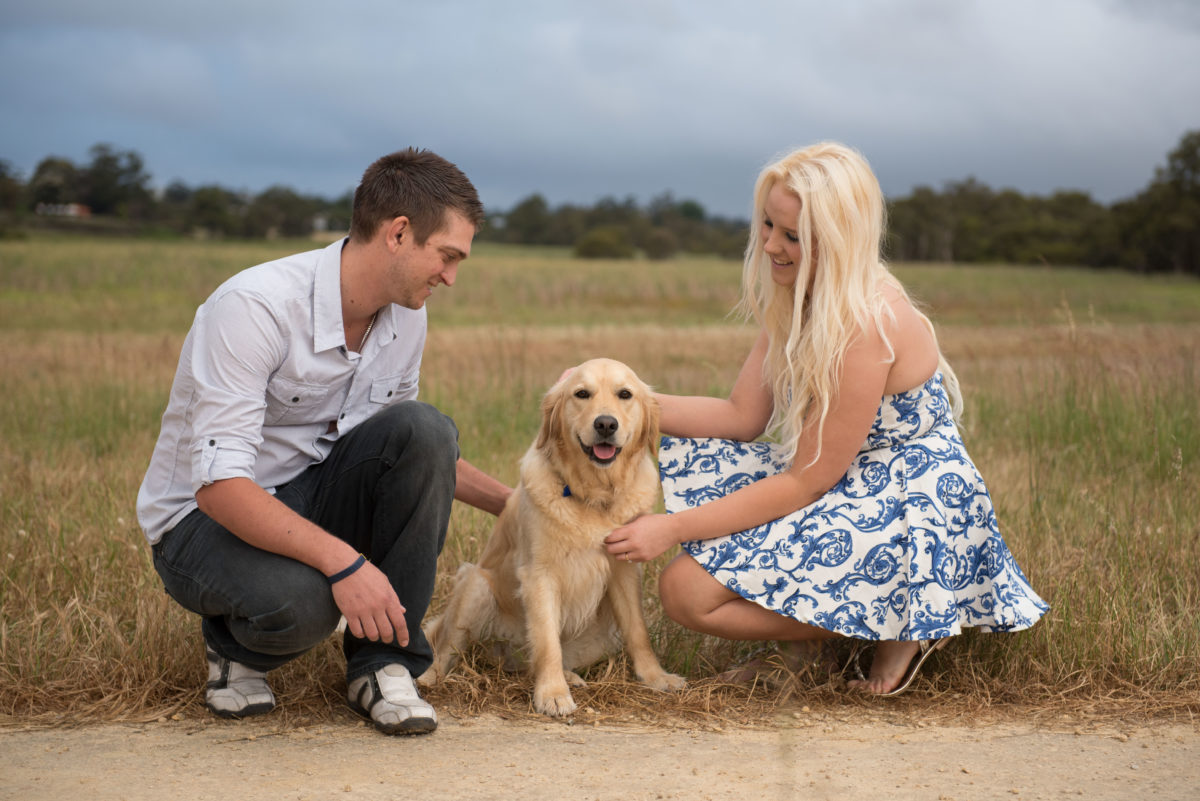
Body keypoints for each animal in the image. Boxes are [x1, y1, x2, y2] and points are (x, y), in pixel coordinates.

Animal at [420, 359, 686, 714]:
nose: (605, 424)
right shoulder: (539, 575)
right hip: (475, 585)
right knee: (446, 650)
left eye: (625, 394)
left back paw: (569, 675)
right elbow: (546, 641)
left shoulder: (625, 568)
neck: (592, 494)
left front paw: (655, 676)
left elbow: (637, 630)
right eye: (582, 394)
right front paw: (553, 694)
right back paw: (426, 680)